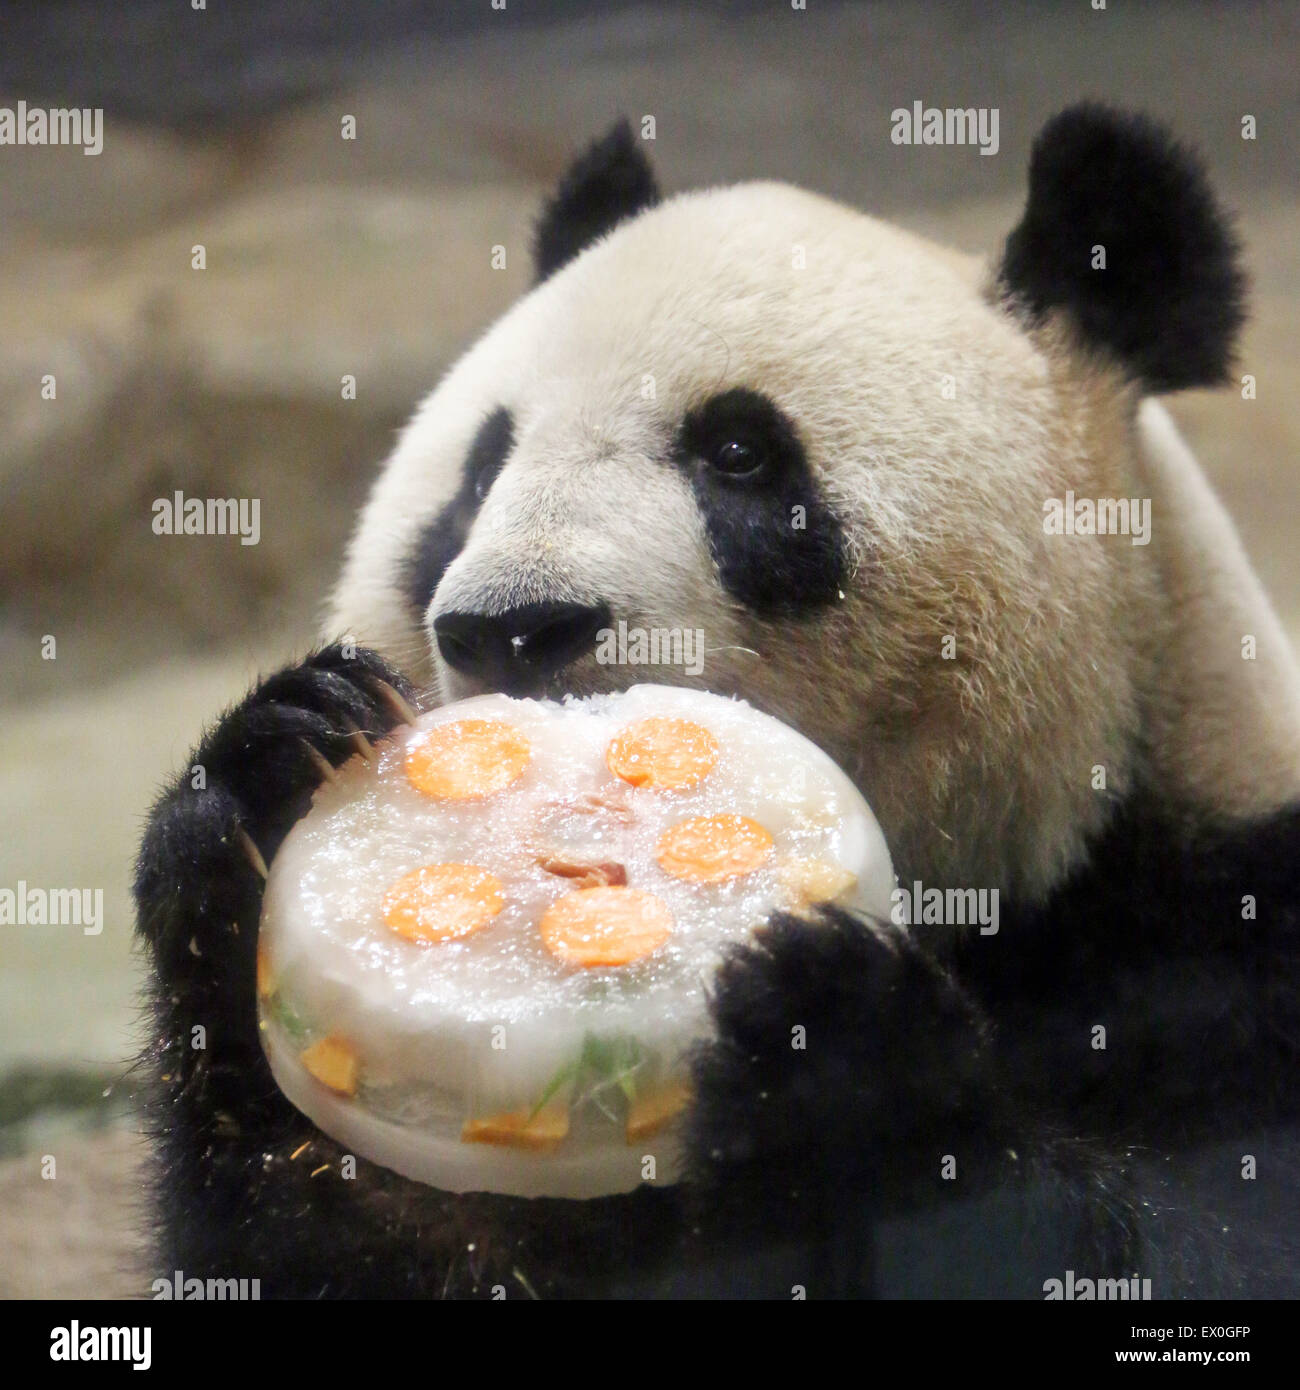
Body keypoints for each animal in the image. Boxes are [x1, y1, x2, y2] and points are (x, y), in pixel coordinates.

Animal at [135, 105, 1300, 1298]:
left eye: (739, 454)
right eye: (481, 471)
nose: (513, 625)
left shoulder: (1225, 938)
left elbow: (1202, 1237)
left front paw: (839, 1047)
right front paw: (264, 770)